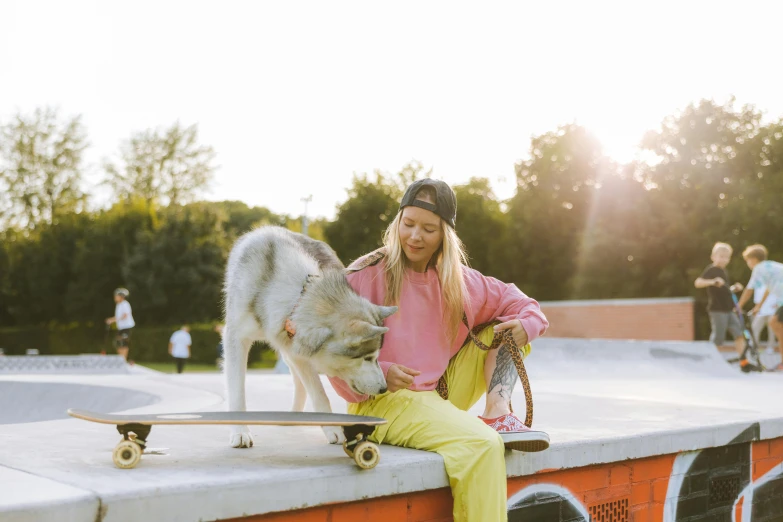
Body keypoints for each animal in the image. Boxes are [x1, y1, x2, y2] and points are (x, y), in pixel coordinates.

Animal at [224, 225, 398, 444]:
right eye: (367, 358)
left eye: (376, 357)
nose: (384, 388)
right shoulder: (236, 339)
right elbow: (237, 391)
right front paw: (240, 431)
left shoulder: (298, 348)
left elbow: (319, 392)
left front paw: (332, 428)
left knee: (300, 383)